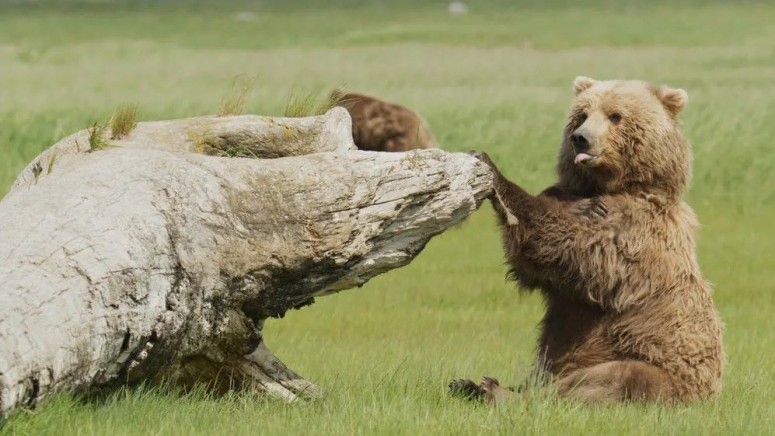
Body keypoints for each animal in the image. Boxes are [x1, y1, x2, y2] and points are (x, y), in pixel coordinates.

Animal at [452, 76, 724, 406]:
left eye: (615, 115)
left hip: (653, 368)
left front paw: (491, 168)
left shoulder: (637, 231)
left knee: (601, 381)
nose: (580, 138)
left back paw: (496, 390)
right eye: (582, 114)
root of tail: (710, 396)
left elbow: (576, 250)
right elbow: (533, 262)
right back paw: (469, 385)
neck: (610, 185)